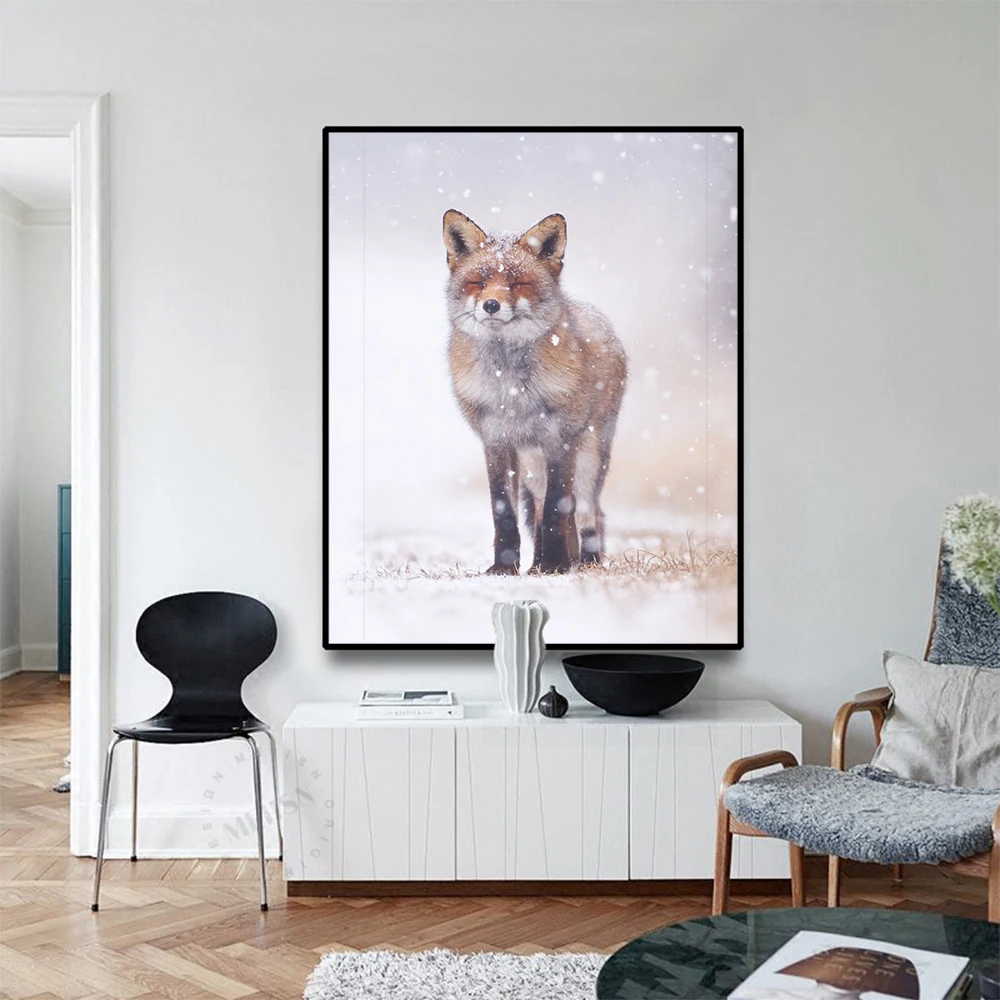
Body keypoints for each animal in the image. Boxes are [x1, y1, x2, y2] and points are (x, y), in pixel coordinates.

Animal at [443, 209, 628, 575]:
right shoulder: (496, 441)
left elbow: (559, 508)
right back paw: (538, 563)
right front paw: (504, 568)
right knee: (541, 508)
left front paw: (557, 565)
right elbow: (505, 511)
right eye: (479, 282)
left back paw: (583, 562)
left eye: (518, 284)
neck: (511, 389)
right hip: (532, 464)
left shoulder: (560, 440)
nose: (490, 304)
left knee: (586, 512)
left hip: (589, 455)